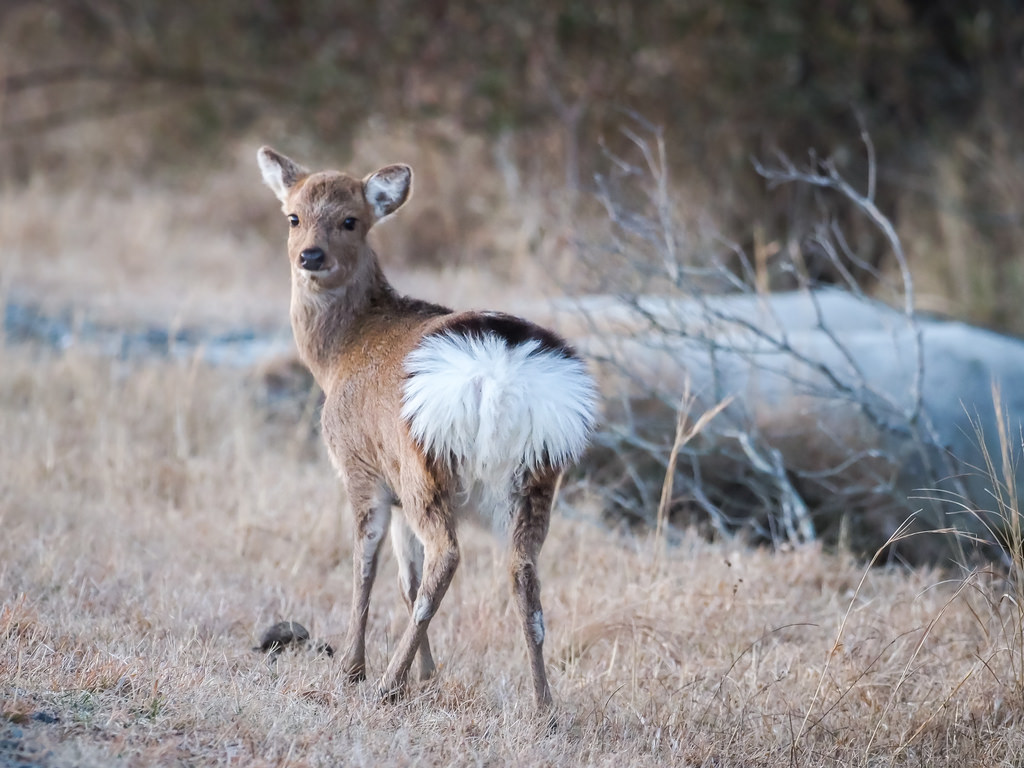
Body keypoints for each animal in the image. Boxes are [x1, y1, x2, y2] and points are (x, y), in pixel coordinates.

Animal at [254, 144, 598, 708]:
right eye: (293, 216)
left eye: (351, 220)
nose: (311, 257)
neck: (338, 355)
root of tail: (496, 372)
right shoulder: (394, 492)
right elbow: (404, 580)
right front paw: (428, 674)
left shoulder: (362, 467)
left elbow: (366, 568)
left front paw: (353, 669)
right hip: (536, 476)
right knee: (524, 579)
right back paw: (544, 707)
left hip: (426, 461)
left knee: (446, 557)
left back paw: (385, 685)